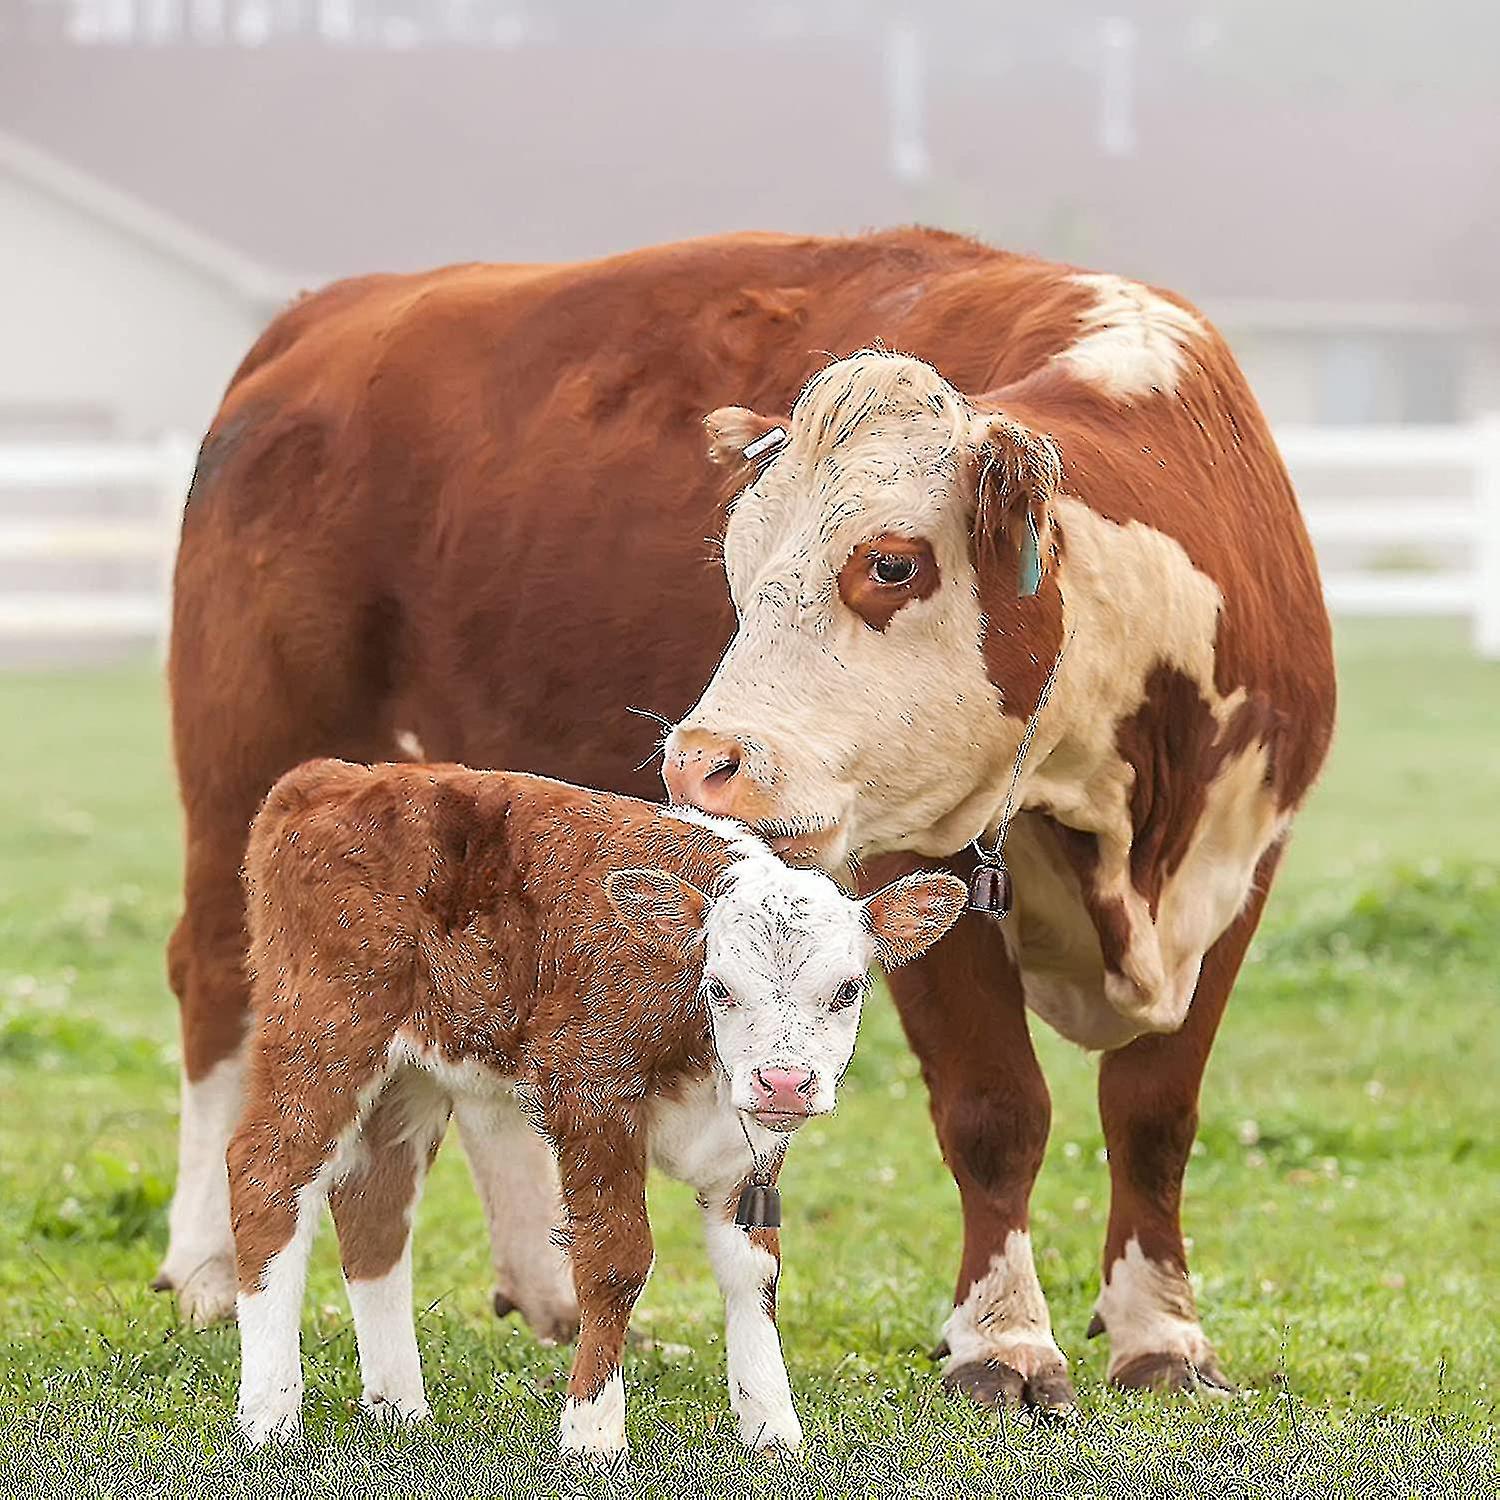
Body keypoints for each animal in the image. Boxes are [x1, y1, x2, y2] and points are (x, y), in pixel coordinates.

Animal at [229, 758, 966, 1454]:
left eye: (847, 989)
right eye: (721, 988)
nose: (783, 1082)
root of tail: (335, 777)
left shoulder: (748, 1145)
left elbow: (754, 1271)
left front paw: (773, 1430)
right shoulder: (590, 1094)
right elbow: (616, 1260)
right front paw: (593, 1434)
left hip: (410, 1074)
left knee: (373, 1202)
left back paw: (400, 1411)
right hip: (324, 1030)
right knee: (267, 1178)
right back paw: (270, 1418)